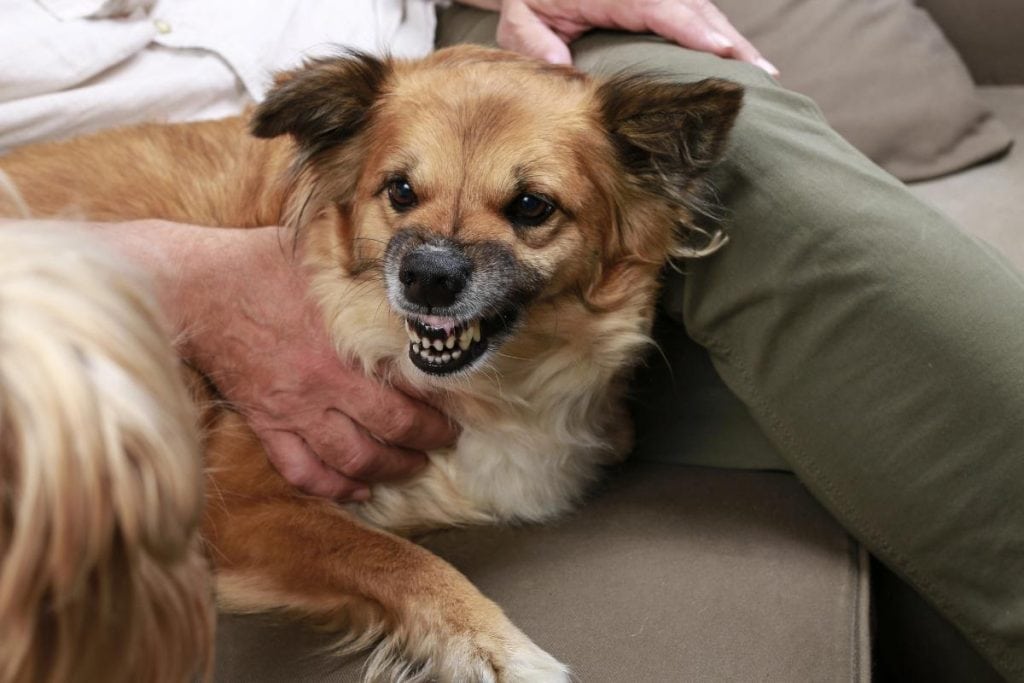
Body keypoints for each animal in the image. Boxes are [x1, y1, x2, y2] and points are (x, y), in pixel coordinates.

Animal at [0, 45, 737, 679]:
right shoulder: (236, 506)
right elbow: (397, 558)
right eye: (401, 190)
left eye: (532, 206)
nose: (428, 276)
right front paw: (494, 648)